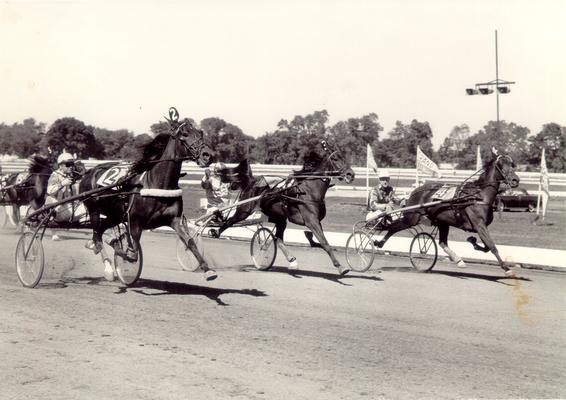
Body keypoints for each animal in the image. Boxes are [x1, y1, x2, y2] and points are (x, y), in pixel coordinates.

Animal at [81, 110, 219, 282]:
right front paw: (120, 249)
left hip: (114, 215)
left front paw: (208, 270)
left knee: (99, 232)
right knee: (97, 236)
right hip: (94, 209)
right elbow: (132, 254)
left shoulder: (174, 220)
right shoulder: (135, 221)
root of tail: (89, 172)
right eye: (185, 134)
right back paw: (107, 268)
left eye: (200, 133)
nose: (209, 155)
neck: (157, 183)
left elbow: (190, 242)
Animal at [213, 140, 356, 276]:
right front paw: (341, 267)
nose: (351, 174)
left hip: (279, 217)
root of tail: (252, 181)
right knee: (229, 221)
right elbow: (325, 242)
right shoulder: (311, 221)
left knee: (279, 239)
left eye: (344, 157)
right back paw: (215, 232)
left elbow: (318, 241)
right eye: (336, 158)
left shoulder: (316, 221)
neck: (308, 190)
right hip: (244, 210)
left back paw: (292, 260)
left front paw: (311, 241)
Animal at [374, 148, 520, 276]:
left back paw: (458, 260)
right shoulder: (479, 225)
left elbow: (486, 247)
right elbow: (491, 246)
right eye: (500, 164)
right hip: (412, 217)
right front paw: (507, 269)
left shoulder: (481, 227)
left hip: (442, 222)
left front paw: (472, 241)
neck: (478, 196)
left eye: (512, 164)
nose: (515, 180)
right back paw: (379, 242)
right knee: (393, 227)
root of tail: (416, 190)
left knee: (442, 242)